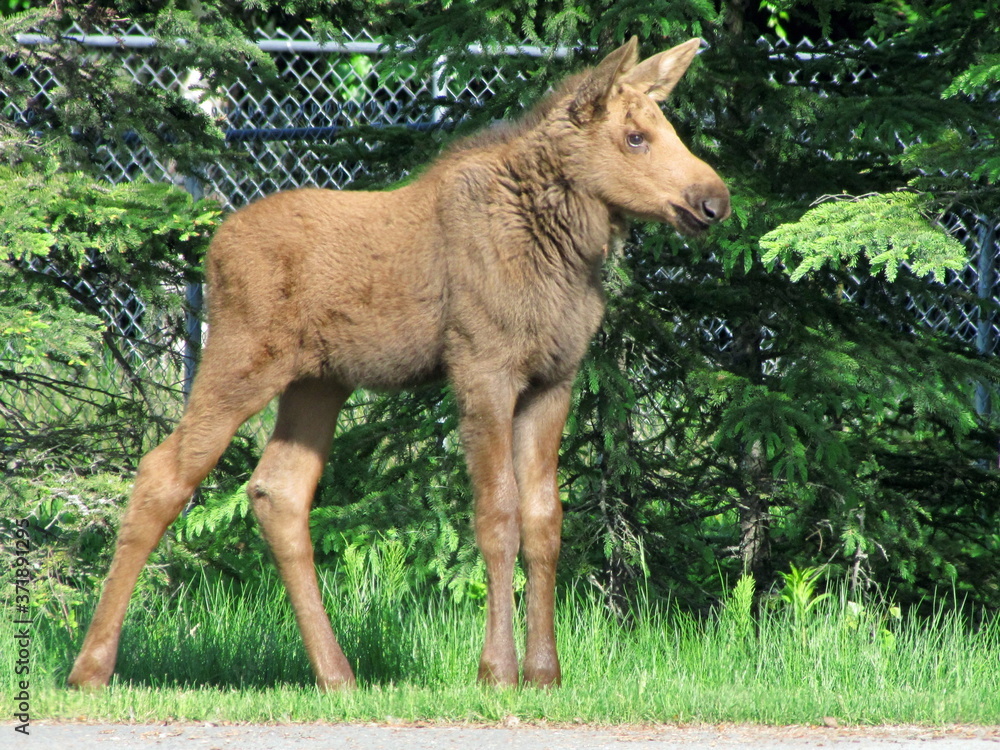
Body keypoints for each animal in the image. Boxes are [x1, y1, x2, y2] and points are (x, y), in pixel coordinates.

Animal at [68, 36, 730, 691]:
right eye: (635, 137)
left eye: (667, 127)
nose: (714, 201)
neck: (565, 249)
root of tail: (212, 248)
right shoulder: (483, 367)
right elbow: (497, 515)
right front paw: (497, 670)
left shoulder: (553, 379)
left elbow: (545, 521)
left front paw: (546, 672)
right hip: (242, 360)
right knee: (161, 473)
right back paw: (91, 668)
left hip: (318, 383)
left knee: (278, 491)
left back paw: (337, 674)